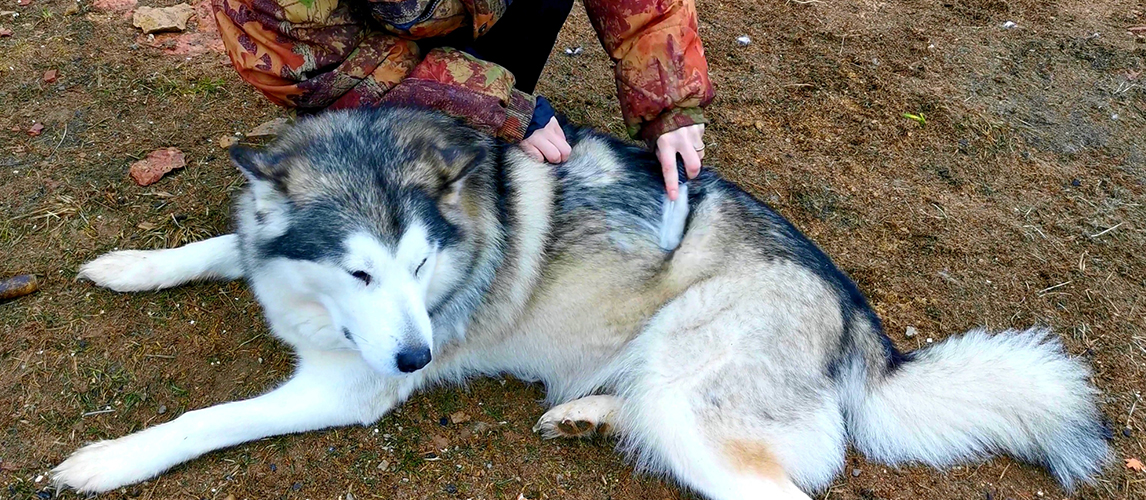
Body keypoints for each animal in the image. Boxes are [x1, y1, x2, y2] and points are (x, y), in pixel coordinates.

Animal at [55, 107, 1109, 497]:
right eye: (362, 272)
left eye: (419, 264)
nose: (418, 358)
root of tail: (865, 325)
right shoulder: (271, 256)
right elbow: (217, 248)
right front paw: (131, 266)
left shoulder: (347, 390)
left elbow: (207, 419)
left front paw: (108, 459)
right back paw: (588, 415)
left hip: (692, 376)